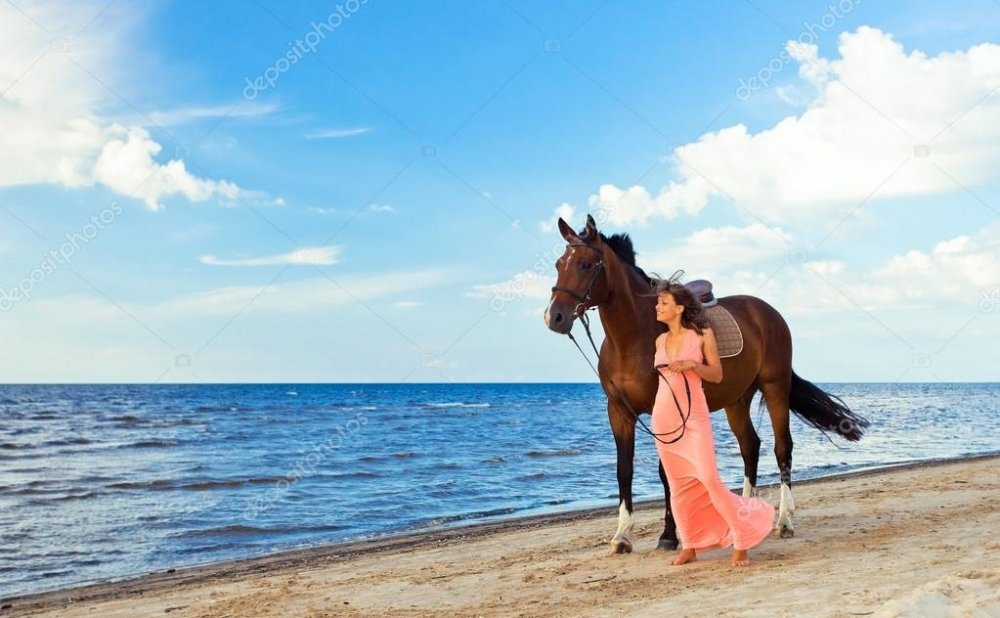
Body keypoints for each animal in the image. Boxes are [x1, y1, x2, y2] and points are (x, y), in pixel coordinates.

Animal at [548, 214, 868, 552]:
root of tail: (768, 312)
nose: (554, 316)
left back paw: (784, 521)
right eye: (558, 264)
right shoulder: (619, 412)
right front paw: (622, 536)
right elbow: (624, 469)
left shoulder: (667, 411)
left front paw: (669, 535)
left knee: (783, 448)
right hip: (737, 399)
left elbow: (666, 472)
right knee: (750, 446)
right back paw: (743, 517)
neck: (634, 338)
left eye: (585, 265)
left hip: (775, 388)